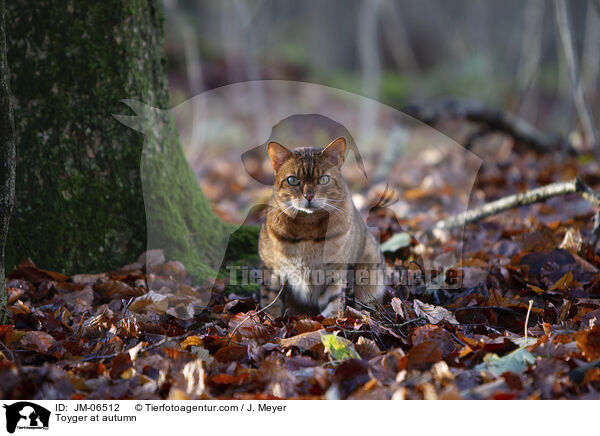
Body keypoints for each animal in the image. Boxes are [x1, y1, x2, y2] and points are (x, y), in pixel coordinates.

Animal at [258, 136, 384, 316]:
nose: (309, 196)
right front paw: (270, 319)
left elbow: (334, 305)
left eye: (324, 179)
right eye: (293, 180)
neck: (307, 228)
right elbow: (270, 303)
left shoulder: (335, 271)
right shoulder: (271, 268)